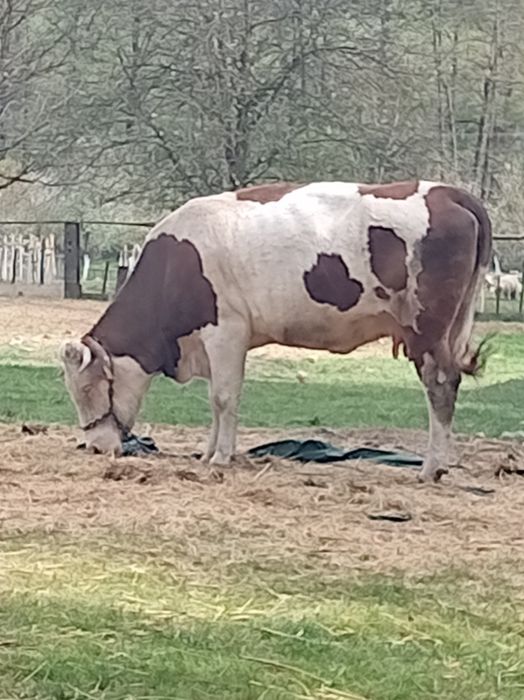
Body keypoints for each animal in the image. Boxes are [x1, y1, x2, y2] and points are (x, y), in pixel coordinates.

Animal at [60, 180, 491, 483]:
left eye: (87, 388)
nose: (95, 448)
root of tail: (448, 192)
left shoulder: (226, 331)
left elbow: (223, 398)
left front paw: (221, 458)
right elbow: (215, 401)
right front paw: (208, 453)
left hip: (427, 329)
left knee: (440, 386)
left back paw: (431, 468)